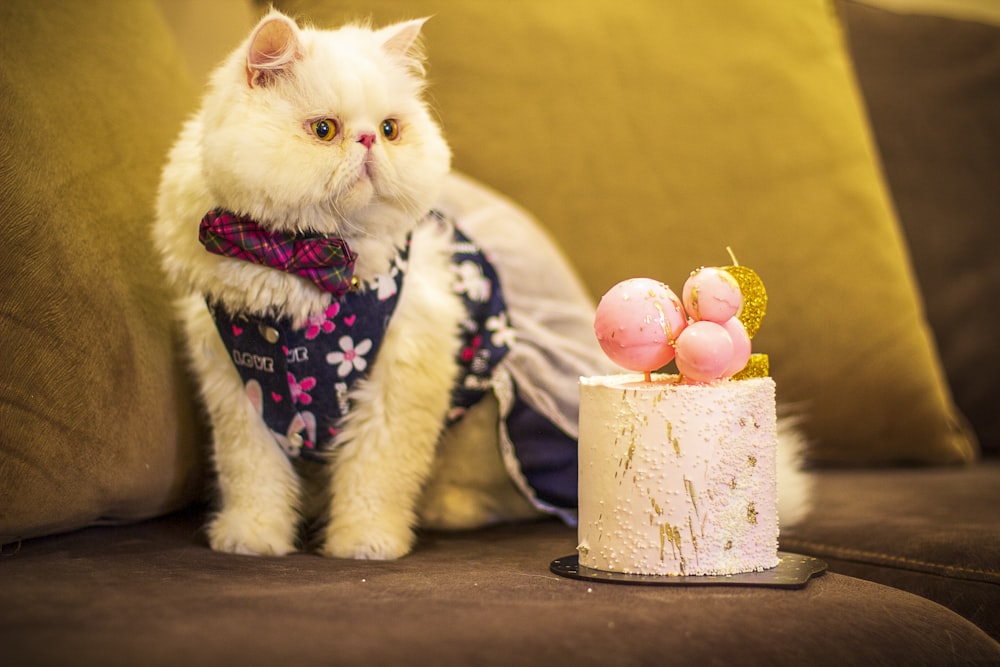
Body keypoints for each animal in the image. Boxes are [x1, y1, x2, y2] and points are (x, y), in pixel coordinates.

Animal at [156, 13, 812, 560]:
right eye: (324, 130)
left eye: (390, 130)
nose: (367, 142)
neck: (304, 264)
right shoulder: (240, 392)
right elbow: (254, 482)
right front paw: (251, 541)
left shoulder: (401, 389)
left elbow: (373, 481)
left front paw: (364, 546)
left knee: (487, 500)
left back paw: (440, 513)